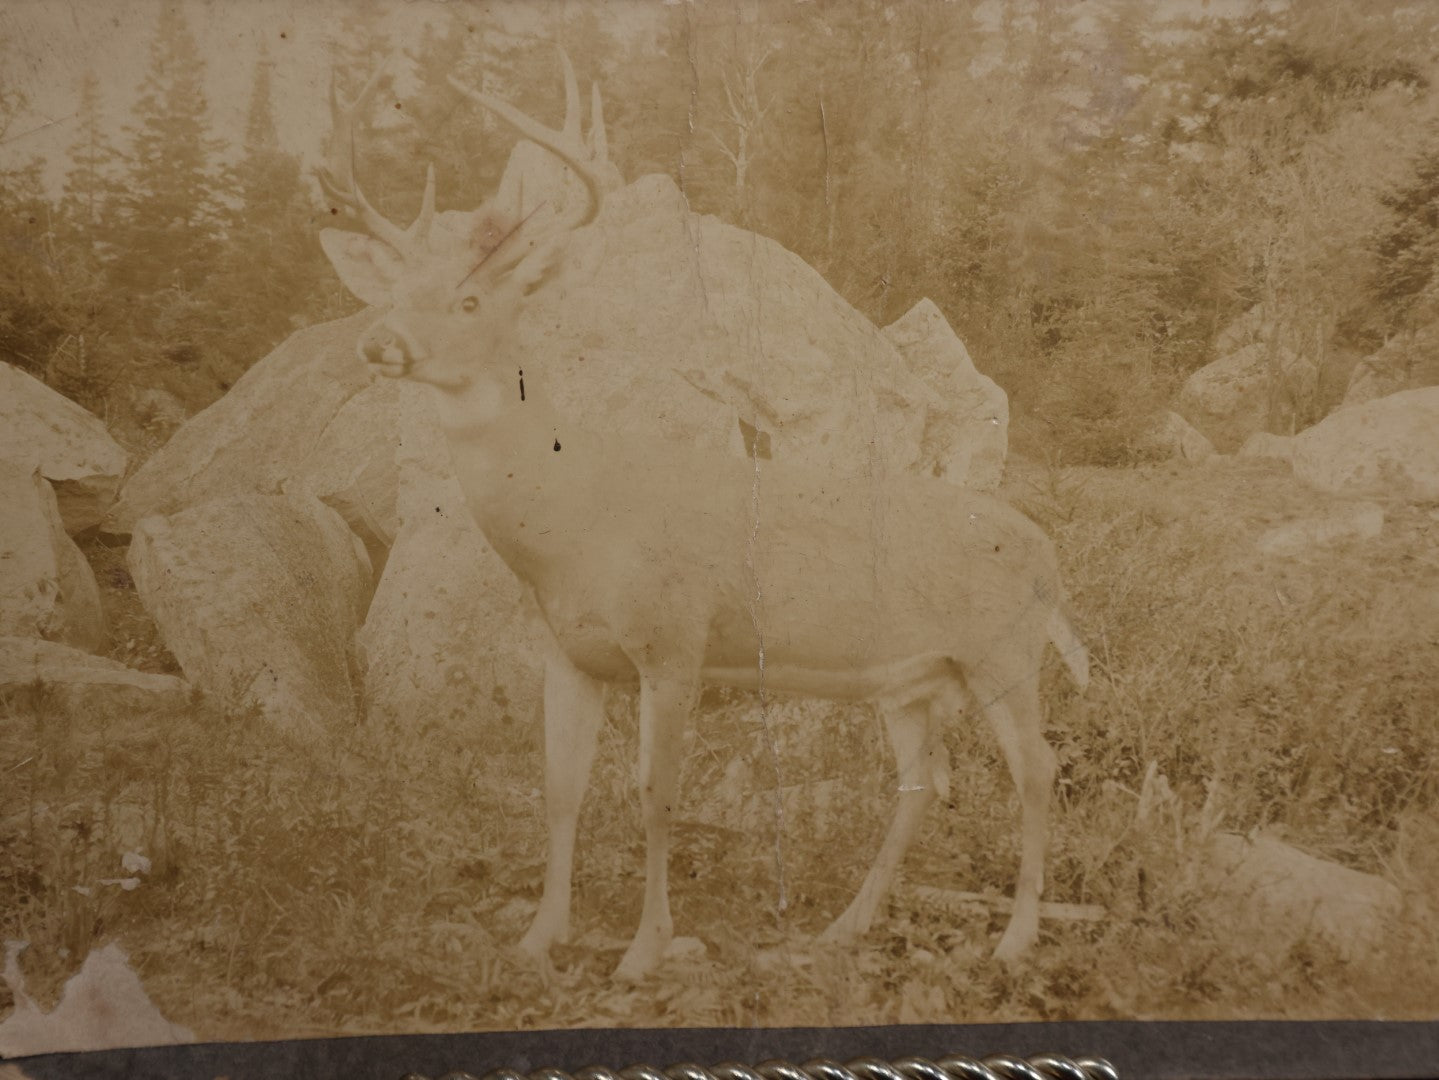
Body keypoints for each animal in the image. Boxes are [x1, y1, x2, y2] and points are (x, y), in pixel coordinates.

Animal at [320, 52, 1087, 977]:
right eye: (395, 291)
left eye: (469, 302)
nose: (380, 343)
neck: (574, 523)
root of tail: (1048, 556)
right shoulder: (569, 655)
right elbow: (560, 791)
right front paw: (538, 939)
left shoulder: (674, 638)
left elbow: (655, 794)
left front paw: (643, 951)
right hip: (911, 676)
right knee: (922, 780)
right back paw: (845, 926)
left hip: (1002, 651)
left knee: (1036, 769)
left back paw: (1013, 940)